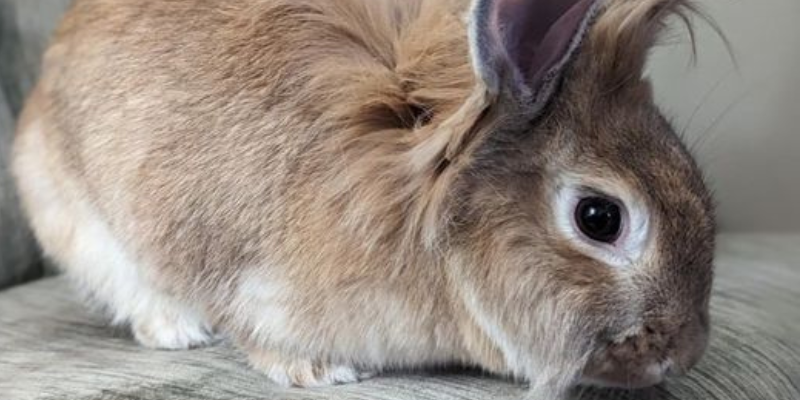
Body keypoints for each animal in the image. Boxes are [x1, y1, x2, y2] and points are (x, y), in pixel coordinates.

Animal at [12, 0, 716, 398]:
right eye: (599, 218)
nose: (685, 354)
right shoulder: (258, 287)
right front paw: (321, 374)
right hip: (83, 227)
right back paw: (180, 332)